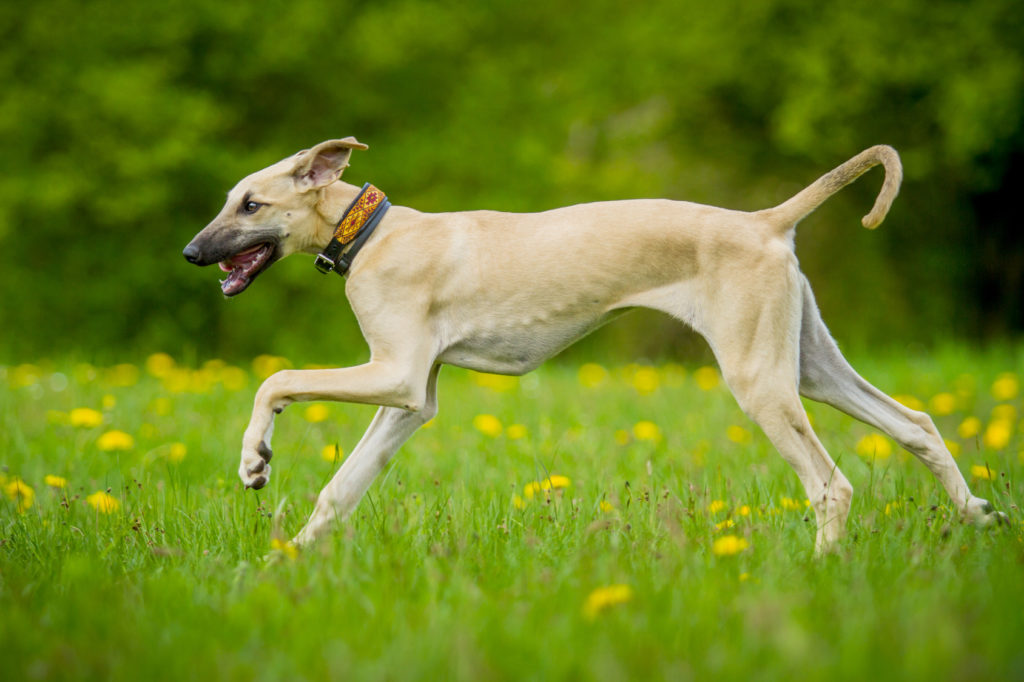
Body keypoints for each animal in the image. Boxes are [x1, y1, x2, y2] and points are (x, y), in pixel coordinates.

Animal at [180, 138, 1003, 552]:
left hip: (762, 382)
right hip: (809, 368)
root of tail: (766, 221)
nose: (190, 253)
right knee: (917, 426)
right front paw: (292, 563)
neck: (372, 232)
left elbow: (275, 380)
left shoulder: (396, 375)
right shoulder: (409, 402)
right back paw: (977, 517)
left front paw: (255, 458)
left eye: (250, 204)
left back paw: (821, 569)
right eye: (229, 201)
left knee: (831, 485)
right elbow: (341, 488)